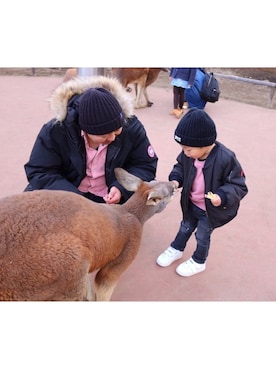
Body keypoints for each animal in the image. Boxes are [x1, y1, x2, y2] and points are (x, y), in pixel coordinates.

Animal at [0, 168, 175, 300]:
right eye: (170, 194)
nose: (175, 183)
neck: (132, 213)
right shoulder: (124, 255)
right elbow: (104, 287)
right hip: (65, 270)